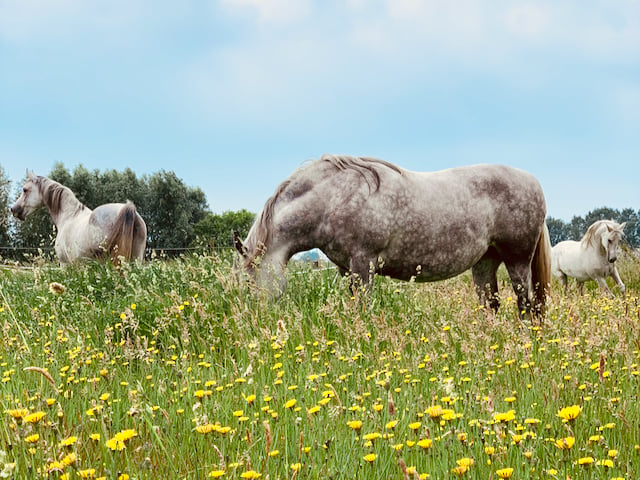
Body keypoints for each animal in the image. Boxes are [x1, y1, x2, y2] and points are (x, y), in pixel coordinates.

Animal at [11, 171, 148, 264]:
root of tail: (128, 208)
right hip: (135, 260)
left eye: (25, 190)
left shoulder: (66, 264)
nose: (13, 209)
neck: (69, 215)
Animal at [235, 156, 552, 316]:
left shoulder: (363, 264)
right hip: (485, 262)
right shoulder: (347, 270)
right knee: (491, 305)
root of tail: (533, 182)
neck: (335, 197)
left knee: (528, 305)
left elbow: (363, 308)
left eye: (250, 278)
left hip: (517, 261)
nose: (258, 318)